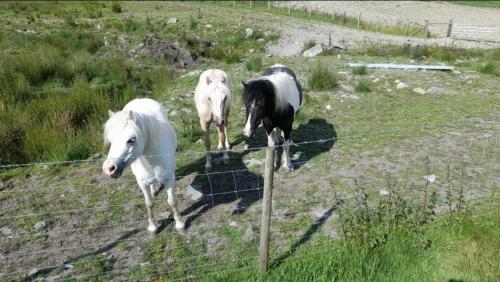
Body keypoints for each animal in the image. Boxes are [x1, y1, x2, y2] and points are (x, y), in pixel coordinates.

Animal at [102, 98, 185, 232]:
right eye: (110, 141)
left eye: (131, 139)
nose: (109, 168)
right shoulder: (142, 183)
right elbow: (149, 203)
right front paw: (152, 226)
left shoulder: (170, 179)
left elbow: (172, 201)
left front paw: (179, 224)